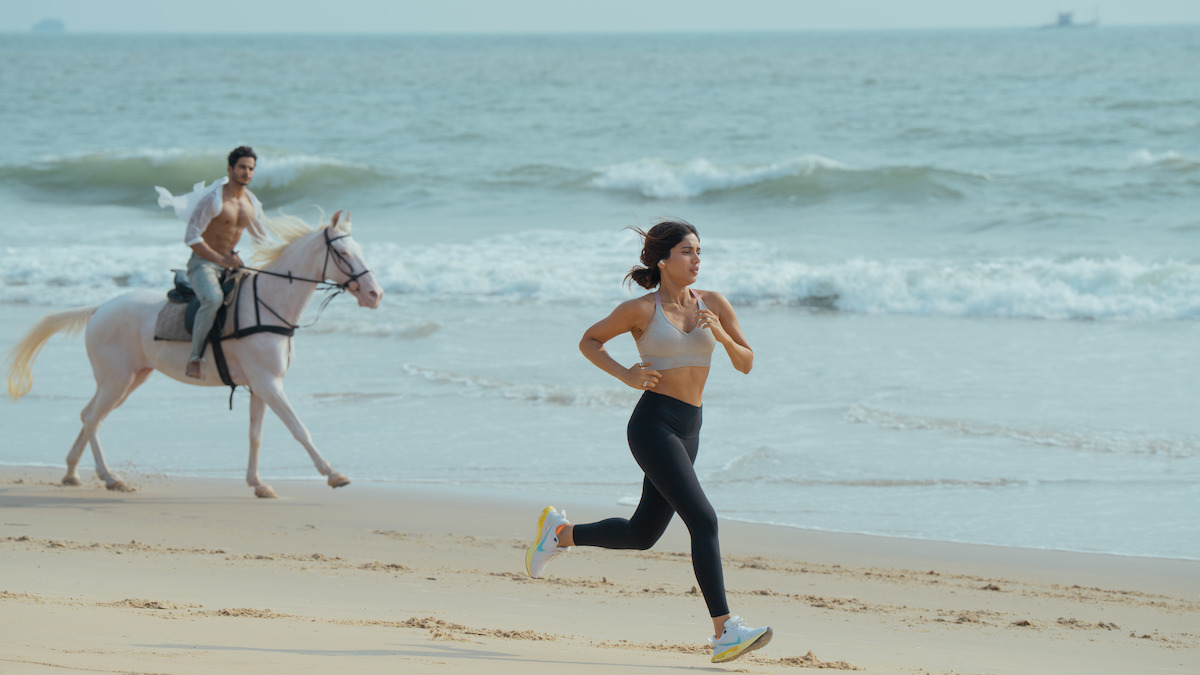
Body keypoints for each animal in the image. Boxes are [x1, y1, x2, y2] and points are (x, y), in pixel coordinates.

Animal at [5, 211, 383, 498]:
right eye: (343, 254)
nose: (375, 294)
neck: (268, 304)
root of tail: (99, 309)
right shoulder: (270, 383)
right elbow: (299, 429)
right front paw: (333, 474)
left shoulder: (260, 387)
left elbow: (256, 435)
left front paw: (258, 484)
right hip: (117, 380)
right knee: (93, 418)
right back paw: (110, 477)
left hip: (129, 380)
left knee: (89, 415)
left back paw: (72, 473)